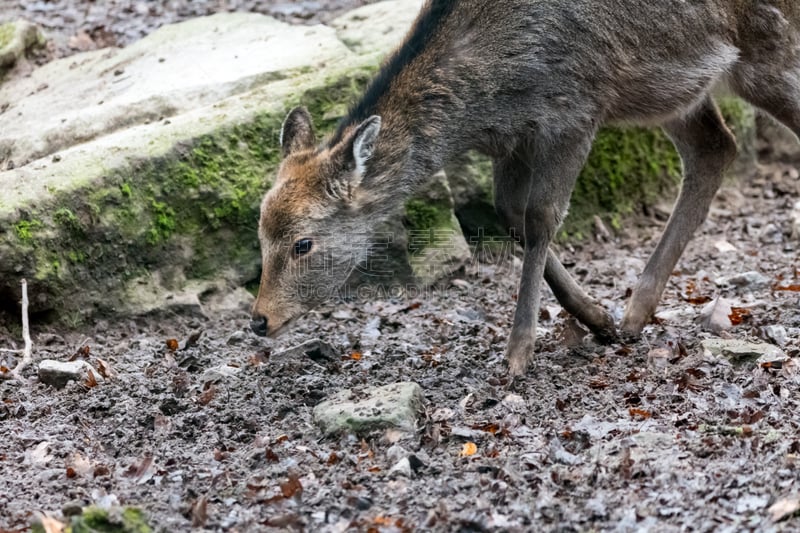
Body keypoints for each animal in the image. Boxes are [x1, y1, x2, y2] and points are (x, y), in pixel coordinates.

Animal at [250, 0, 800, 374]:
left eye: (303, 243)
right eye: (259, 233)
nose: (259, 320)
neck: (488, 99)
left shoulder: (575, 109)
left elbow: (541, 218)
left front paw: (518, 353)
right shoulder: (512, 140)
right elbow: (510, 215)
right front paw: (598, 319)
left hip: (768, 43)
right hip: (672, 88)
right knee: (716, 147)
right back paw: (635, 313)